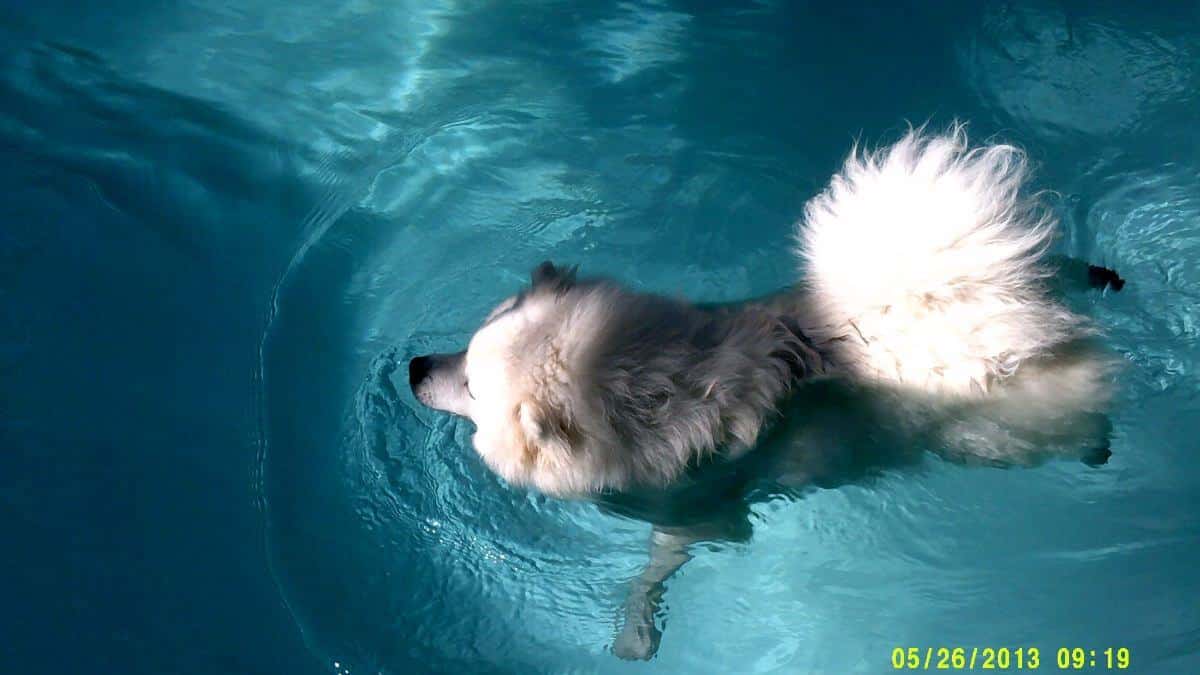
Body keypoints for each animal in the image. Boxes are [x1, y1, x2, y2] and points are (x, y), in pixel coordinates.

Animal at [408, 127, 1118, 658]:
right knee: (1055, 268)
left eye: (470, 388)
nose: (414, 367)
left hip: (998, 432)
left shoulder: (694, 510)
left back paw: (1099, 444)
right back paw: (1096, 274)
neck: (642, 385)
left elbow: (654, 567)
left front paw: (636, 628)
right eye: (462, 355)